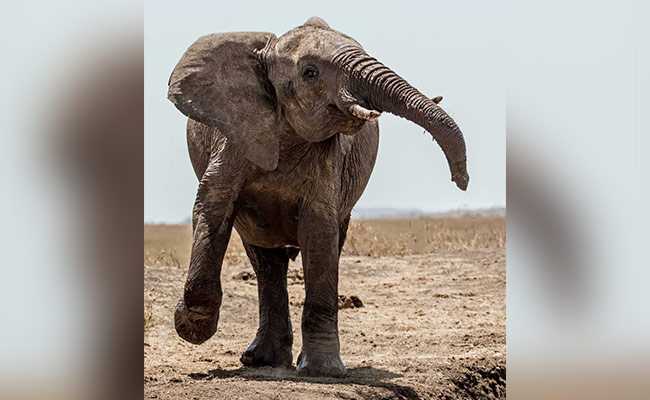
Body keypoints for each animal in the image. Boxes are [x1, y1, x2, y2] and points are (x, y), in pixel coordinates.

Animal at [167, 16, 469, 377]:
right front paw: (191, 327)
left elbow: (319, 229)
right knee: (265, 260)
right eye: (310, 72)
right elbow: (213, 204)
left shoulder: (329, 159)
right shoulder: (234, 137)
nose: (461, 180)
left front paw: (323, 371)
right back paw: (261, 360)